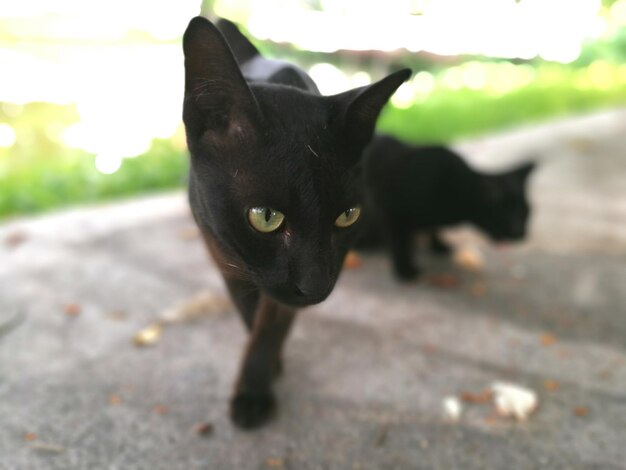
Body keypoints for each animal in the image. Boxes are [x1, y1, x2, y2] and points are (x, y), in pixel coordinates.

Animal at [180, 17, 410, 430]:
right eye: (265, 218)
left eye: (347, 216)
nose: (316, 285)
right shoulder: (225, 256)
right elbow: (248, 311)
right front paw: (269, 369)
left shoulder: (279, 291)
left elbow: (269, 327)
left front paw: (254, 390)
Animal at [356, 136, 532, 280]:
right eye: (507, 214)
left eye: (526, 213)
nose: (522, 233)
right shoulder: (391, 211)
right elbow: (400, 244)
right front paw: (405, 269)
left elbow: (434, 229)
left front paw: (438, 245)